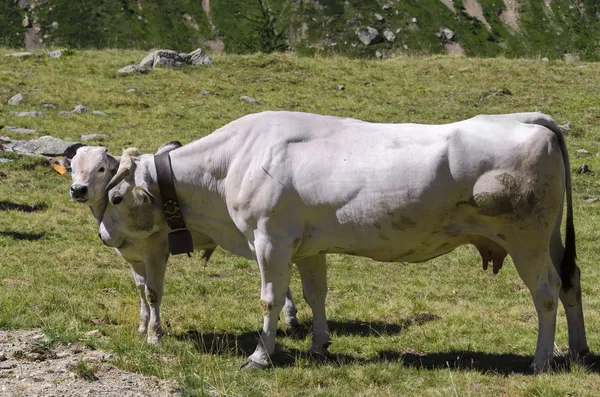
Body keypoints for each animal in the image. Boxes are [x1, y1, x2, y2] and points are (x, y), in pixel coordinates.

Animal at [69, 144, 300, 342]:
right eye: (72, 168)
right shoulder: (133, 258)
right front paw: (143, 325)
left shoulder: (155, 253)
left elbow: (152, 293)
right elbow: (141, 288)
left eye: (101, 168)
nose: (78, 189)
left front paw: (154, 334)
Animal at [97, 110, 584, 370]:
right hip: (549, 236)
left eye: (117, 196)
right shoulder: (308, 246)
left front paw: (260, 355)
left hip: (526, 238)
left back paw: (541, 360)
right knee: (570, 282)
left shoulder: (270, 238)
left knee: (545, 293)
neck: (234, 162)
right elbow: (316, 294)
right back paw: (578, 350)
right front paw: (319, 344)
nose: (103, 235)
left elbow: (270, 299)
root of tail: (527, 118)